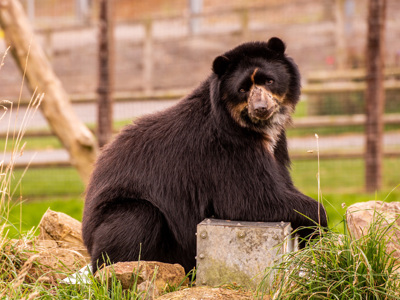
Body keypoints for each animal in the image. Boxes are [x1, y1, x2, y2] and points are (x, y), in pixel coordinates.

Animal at [82, 37, 328, 274]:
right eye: (242, 89)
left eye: (269, 81)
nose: (261, 108)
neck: (253, 128)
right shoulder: (225, 151)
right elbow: (250, 200)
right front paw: (320, 235)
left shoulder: (276, 147)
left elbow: (280, 184)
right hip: (120, 215)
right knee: (136, 219)